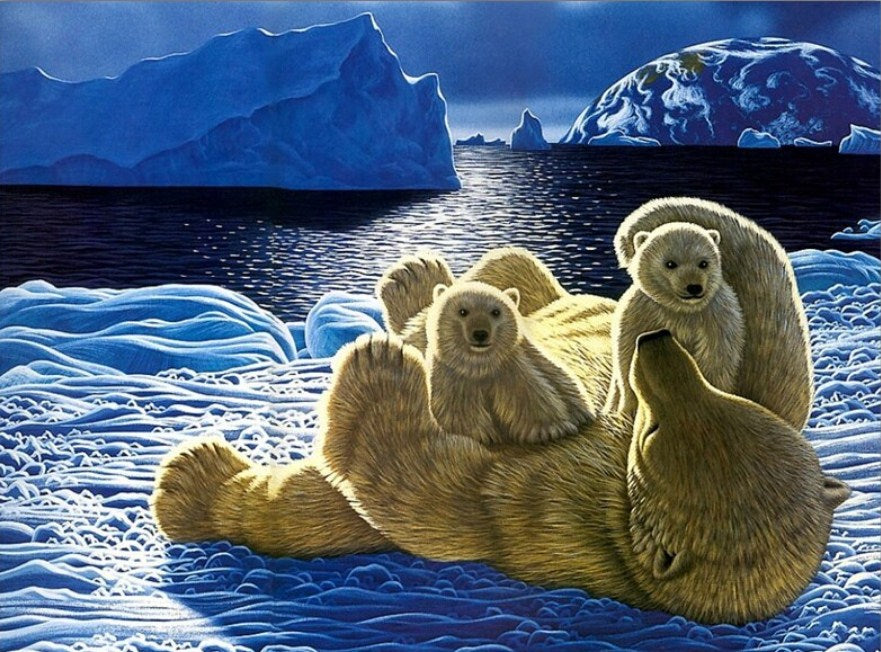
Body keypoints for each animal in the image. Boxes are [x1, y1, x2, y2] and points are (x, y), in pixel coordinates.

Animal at [425, 280, 594, 444]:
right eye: (462, 311)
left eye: (495, 312)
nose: (480, 333)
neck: (480, 366)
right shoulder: (451, 375)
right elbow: (457, 407)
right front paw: (485, 434)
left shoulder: (512, 365)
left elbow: (531, 392)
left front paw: (549, 429)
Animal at [606, 221, 746, 415]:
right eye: (670, 263)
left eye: (703, 263)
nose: (694, 287)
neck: (681, 309)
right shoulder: (641, 313)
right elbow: (627, 355)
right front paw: (630, 408)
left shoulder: (717, 317)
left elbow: (716, 359)